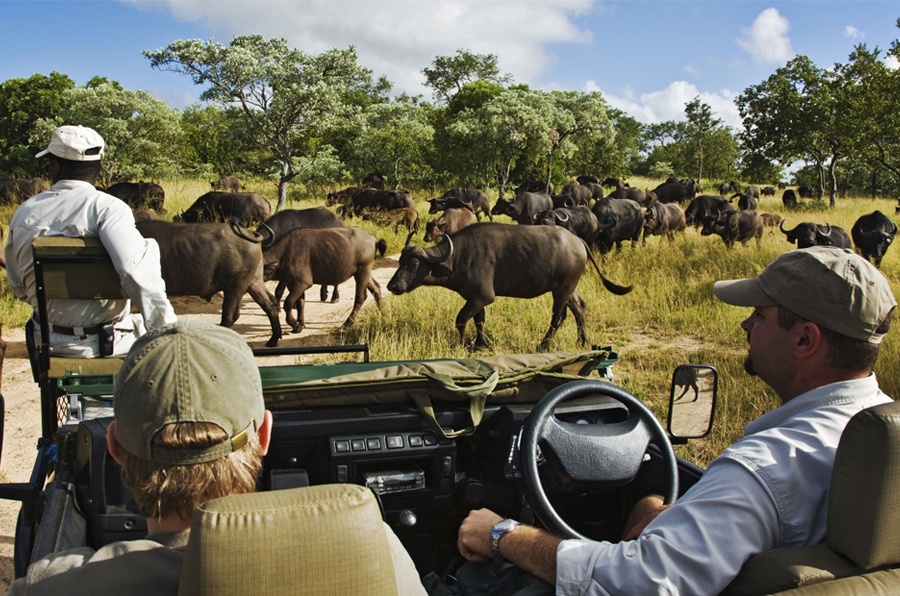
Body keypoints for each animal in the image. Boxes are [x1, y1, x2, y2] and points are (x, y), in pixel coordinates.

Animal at [137, 220, 282, 346]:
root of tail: (249, 234)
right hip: (254, 282)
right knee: (270, 304)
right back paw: (273, 339)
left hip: (234, 287)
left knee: (230, 316)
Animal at [386, 224, 632, 354]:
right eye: (399, 262)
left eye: (414, 264)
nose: (392, 285)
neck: (457, 257)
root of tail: (579, 241)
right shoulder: (476, 298)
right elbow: (479, 320)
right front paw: (481, 343)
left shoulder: (483, 296)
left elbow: (461, 319)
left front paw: (465, 343)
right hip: (570, 288)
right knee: (579, 308)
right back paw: (581, 341)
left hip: (562, 290)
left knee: (558, 316)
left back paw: (543, 345)